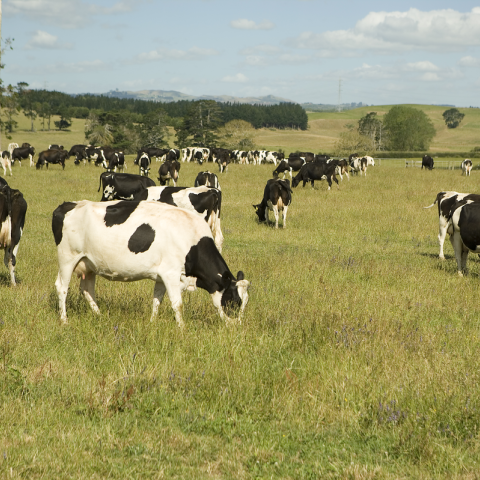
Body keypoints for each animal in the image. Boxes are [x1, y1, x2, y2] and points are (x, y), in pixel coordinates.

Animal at [52, 199, 249, 326]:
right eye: (234, 301)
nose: (238, 324)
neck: (191, 238)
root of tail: (68, 204)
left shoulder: (161, 276)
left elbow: (157, 300)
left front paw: (152, 322)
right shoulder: (171, 274)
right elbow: (177, 303)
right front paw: (182, 328)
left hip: (89, 264)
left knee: (87, 289)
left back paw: (100, 316)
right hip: (67, 257)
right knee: (62, 287)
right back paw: (64, 320)